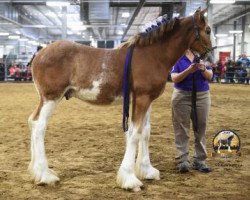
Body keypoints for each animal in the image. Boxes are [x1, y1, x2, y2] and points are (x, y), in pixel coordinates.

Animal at [28, 7, 212, 191]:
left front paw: (147, 171)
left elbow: (145, 132)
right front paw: (130, 179)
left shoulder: (146, 100)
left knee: (33, 121)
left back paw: (36, 171)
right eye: (208, 30)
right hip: (51, 98)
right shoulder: (142, 98)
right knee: (39, 126)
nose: (208, 56)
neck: (152, 55)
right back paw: (45, 175)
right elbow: (135, 133)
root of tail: (40, 54)